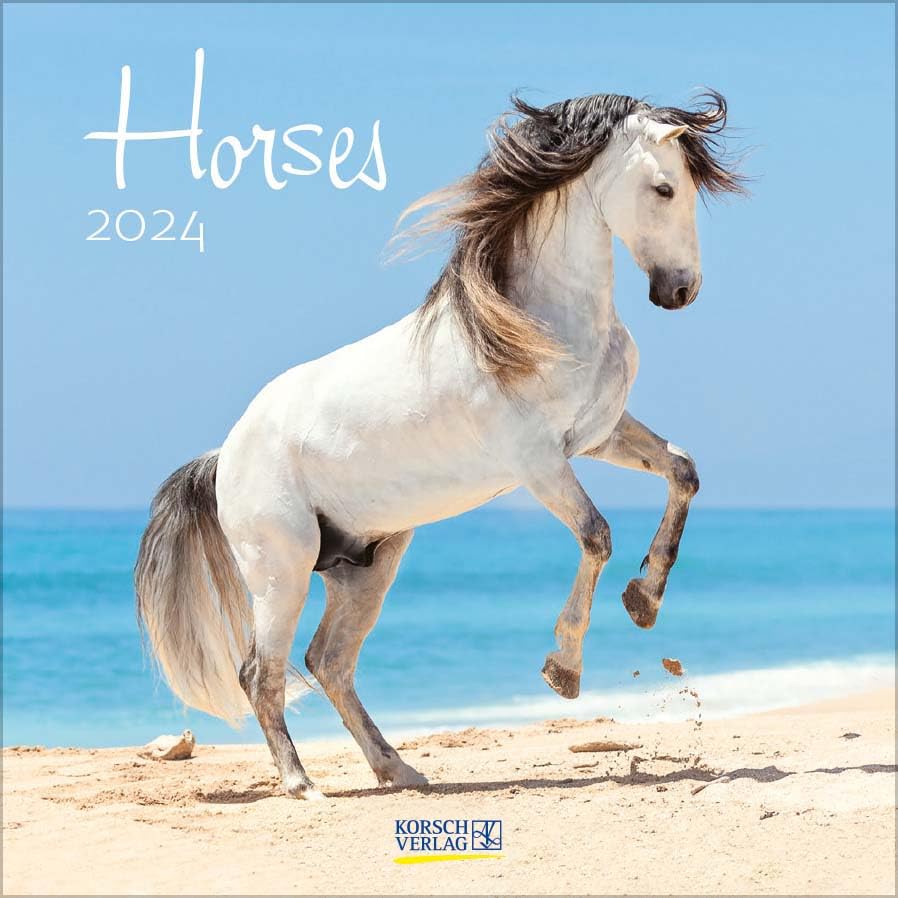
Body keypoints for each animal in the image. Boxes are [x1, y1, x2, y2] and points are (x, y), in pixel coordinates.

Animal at [135, 90, 744, 800]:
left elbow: (683, 471)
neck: (532, 322)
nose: (679, 291)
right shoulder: (539, 463)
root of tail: (222, 458)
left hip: (367, 565)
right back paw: (301, 784)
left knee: (329, 662)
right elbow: (596, 535)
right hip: (280, 572)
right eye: (663, 187)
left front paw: (643, 601)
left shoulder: (599, 435)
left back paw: (398, 769)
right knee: (261, 673)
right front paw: (563, 669)